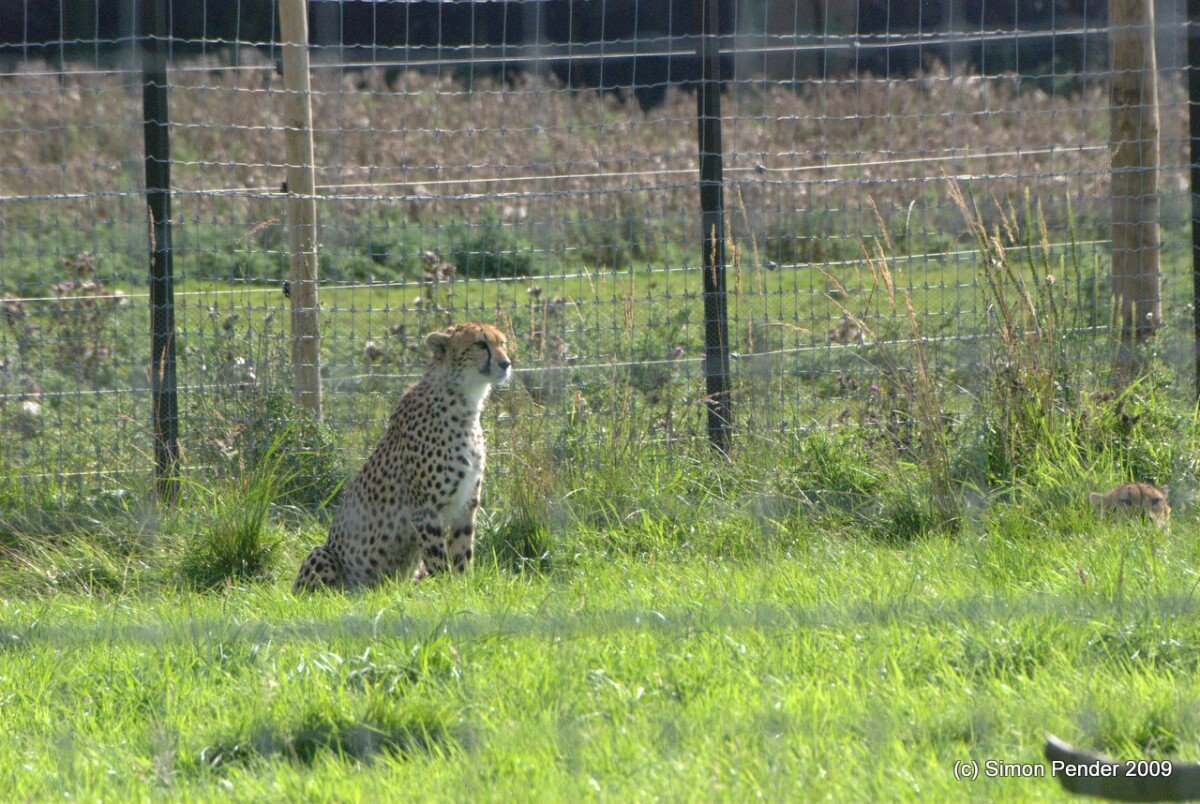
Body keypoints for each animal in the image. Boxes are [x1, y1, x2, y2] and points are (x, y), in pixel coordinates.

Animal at [294, 322, 512, 592]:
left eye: (502, 343)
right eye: (480, 344)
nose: (506, 363)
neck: (465, 400)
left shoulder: (467, 505)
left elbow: (462, 554)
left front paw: (463, 588)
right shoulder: (426, 511)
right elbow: (439, 560)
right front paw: (446, 591)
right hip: (322, 554)